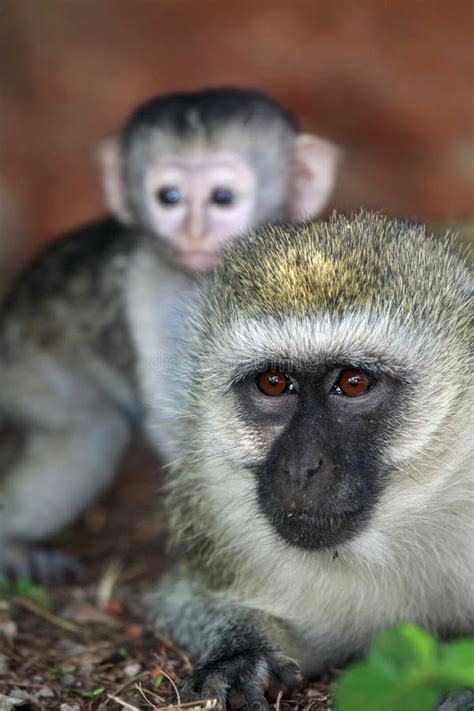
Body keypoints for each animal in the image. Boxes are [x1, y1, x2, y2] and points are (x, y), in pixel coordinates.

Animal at [0, 87, 340, 580]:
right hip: (28, 370)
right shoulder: (156, 288)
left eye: (222, 198)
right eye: (169, 197)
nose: (194, 234)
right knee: (92, 433)